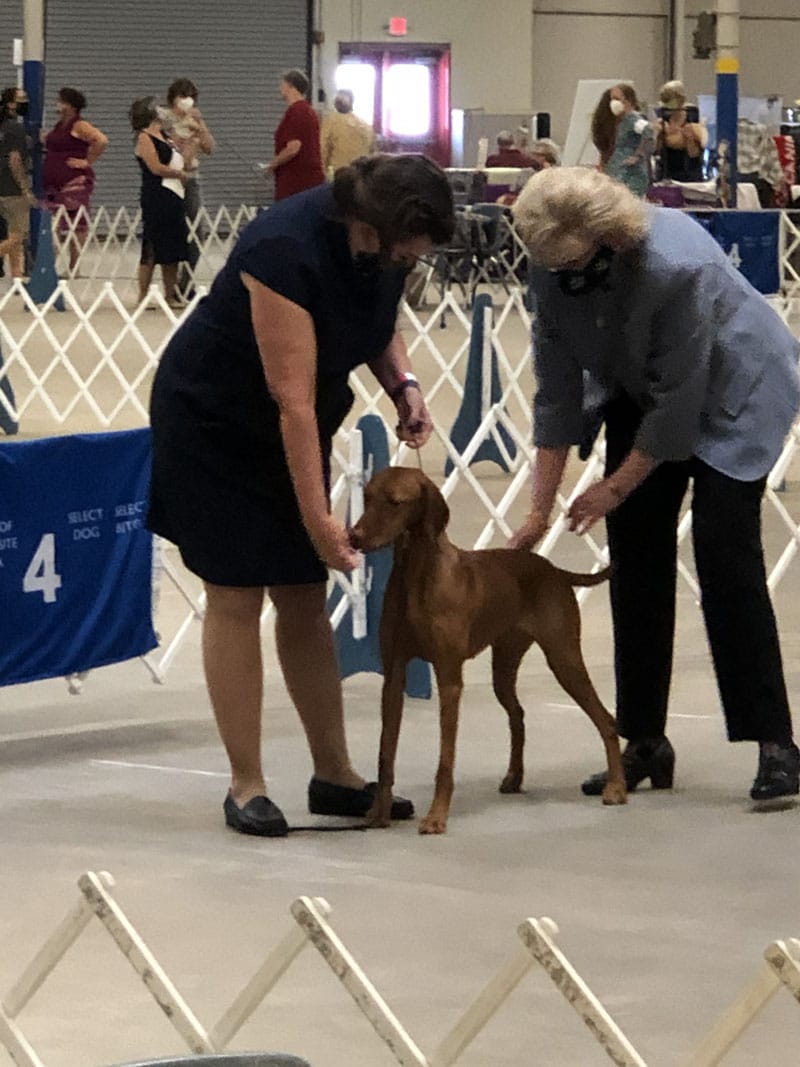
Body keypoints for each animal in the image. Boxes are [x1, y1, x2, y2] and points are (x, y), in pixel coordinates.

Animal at [354, 467, 631, 832]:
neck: (416, 573)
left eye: (395, 502)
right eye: (367, 497)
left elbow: (445, 760)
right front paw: (378, 813)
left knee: (607, 721)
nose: (353, 537)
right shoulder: (394, 674)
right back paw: (514, 777)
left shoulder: (449, 678)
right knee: (518, 715)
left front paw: (436, 817)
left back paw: (616, 788)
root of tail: (554, 571)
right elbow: (385, 753)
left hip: (564, 658)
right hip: (505, 665)